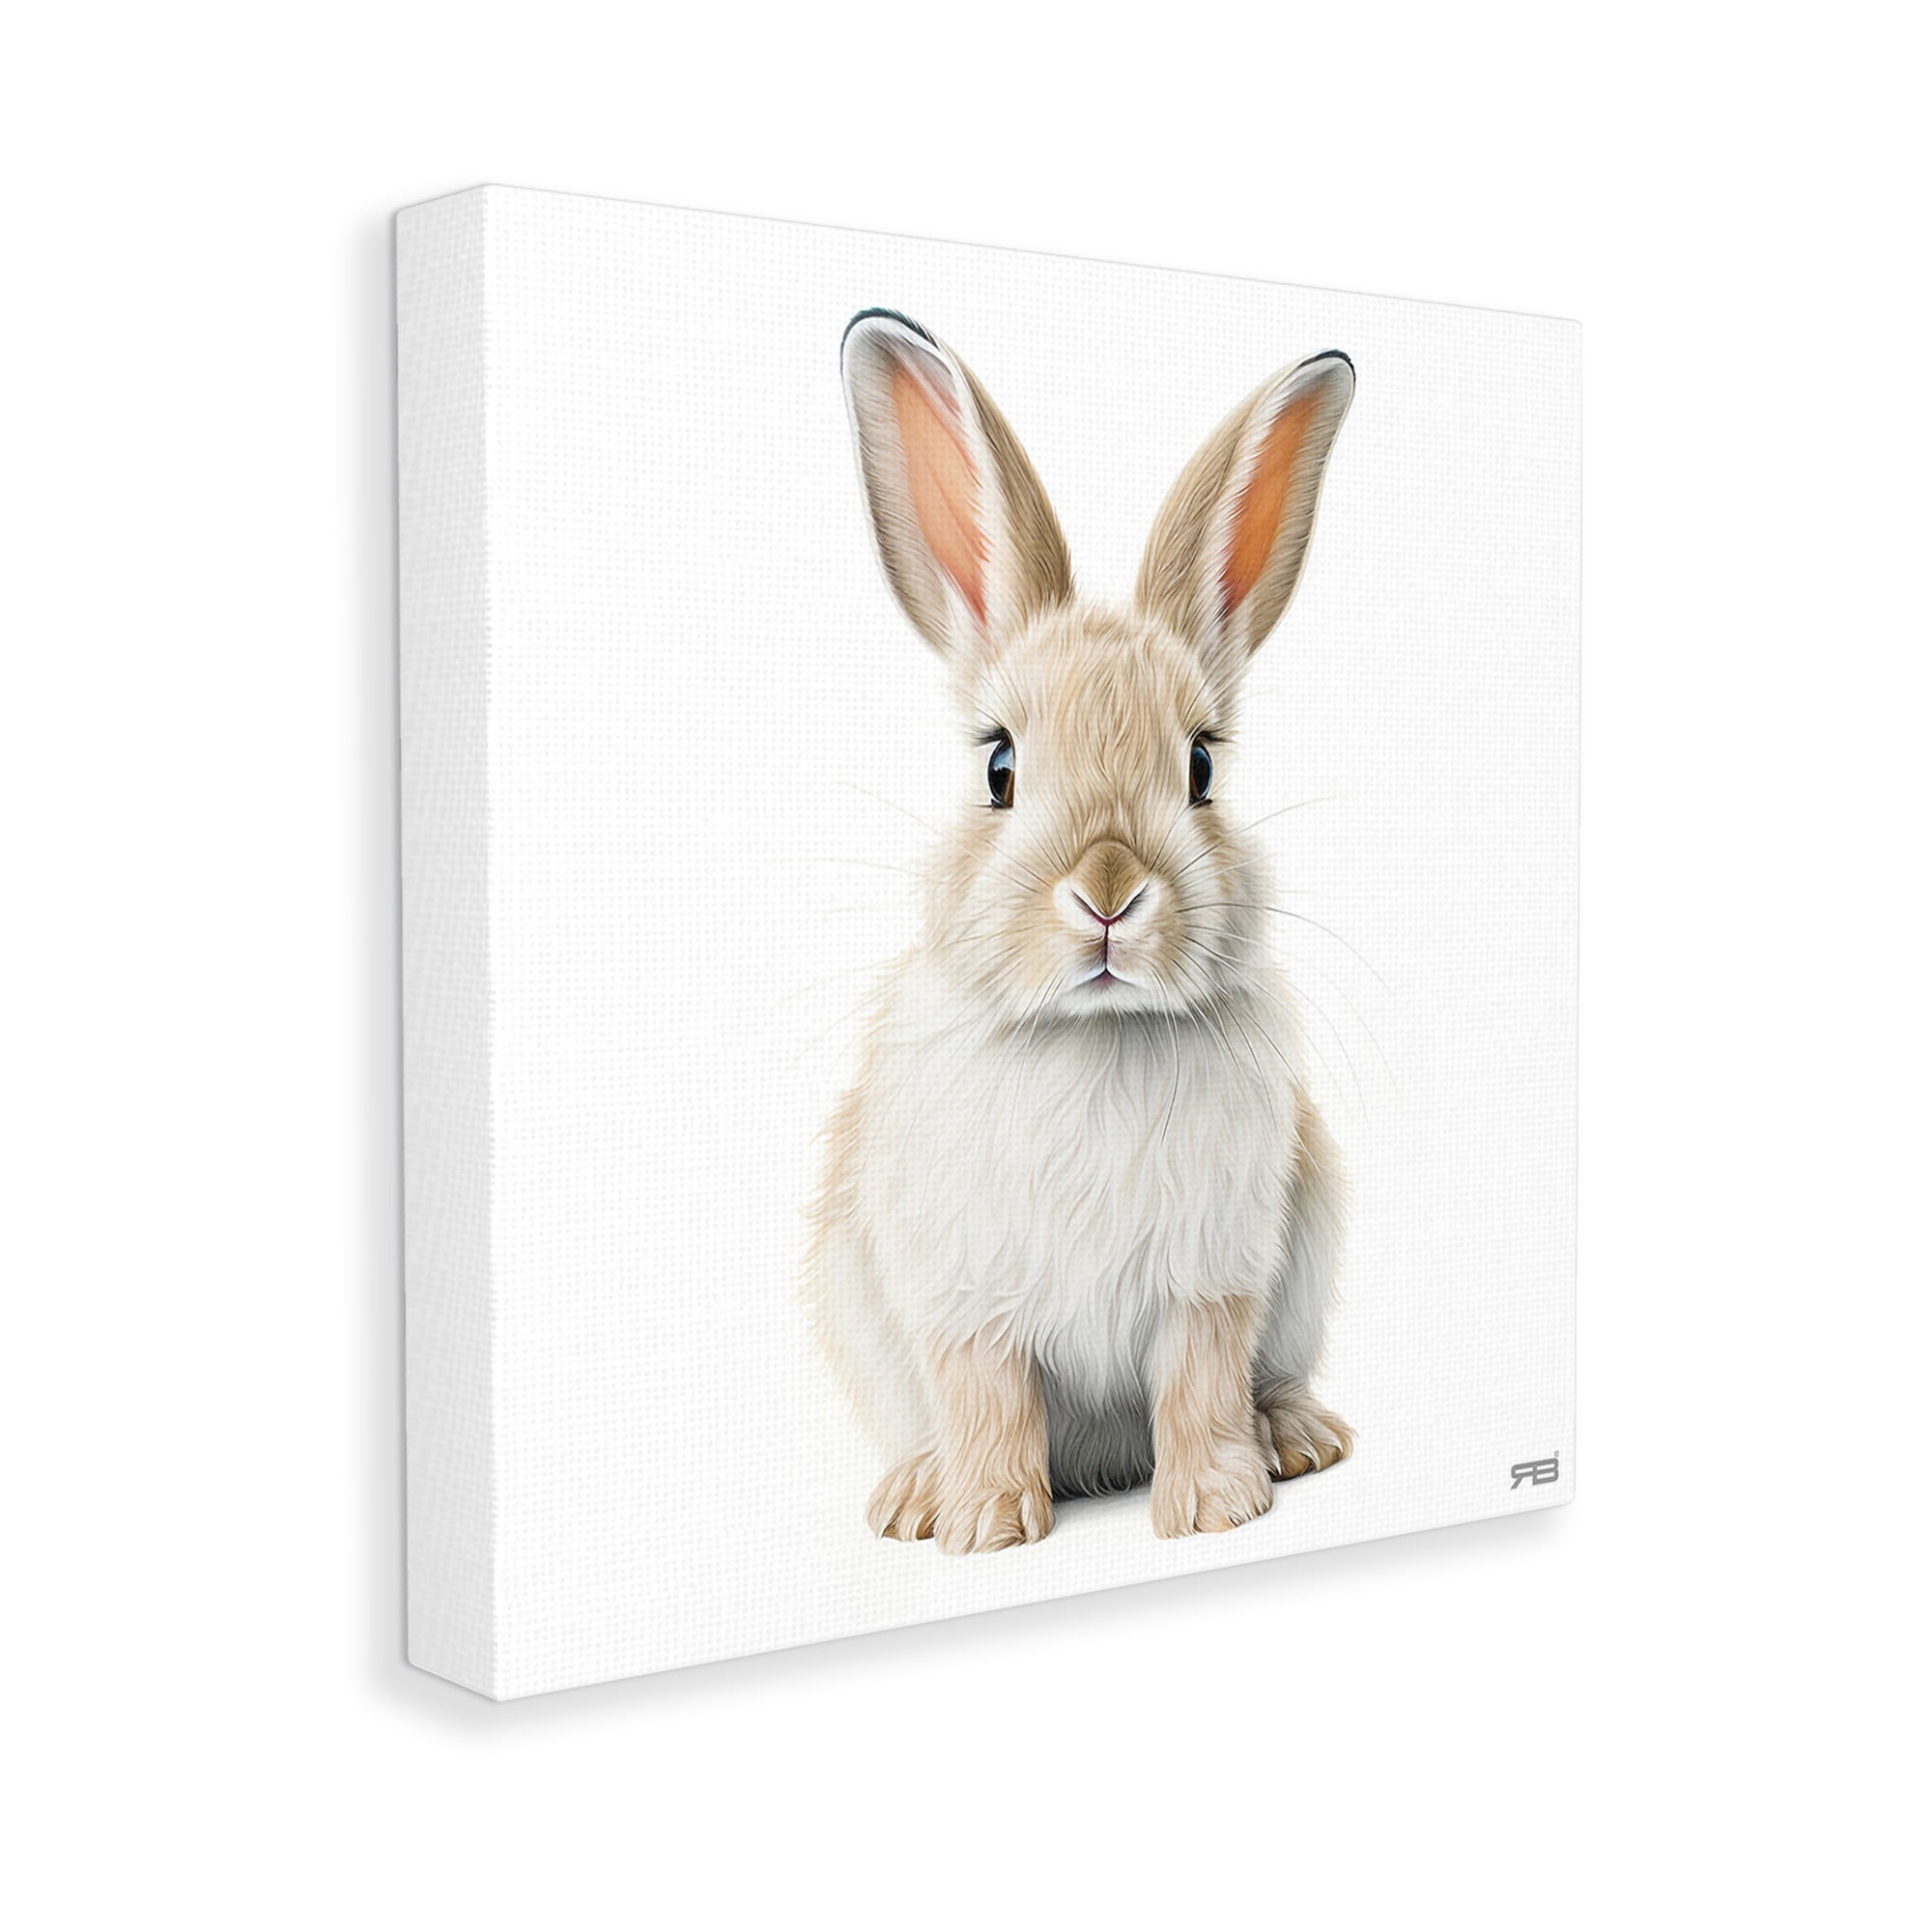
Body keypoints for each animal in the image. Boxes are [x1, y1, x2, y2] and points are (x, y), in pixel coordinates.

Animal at [806, 309, 1357, 1552]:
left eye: (1199, 766)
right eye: (999, 767)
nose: (1107, 889)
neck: (1092, 1034)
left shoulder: (1213, 1276)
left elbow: (1199, 1380)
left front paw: (1212, 1508)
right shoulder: (962, 1295)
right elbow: (985, 1393)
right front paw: (985, 1525)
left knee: (1265, 1379)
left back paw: (1298, 1439)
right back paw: (916, 1495)